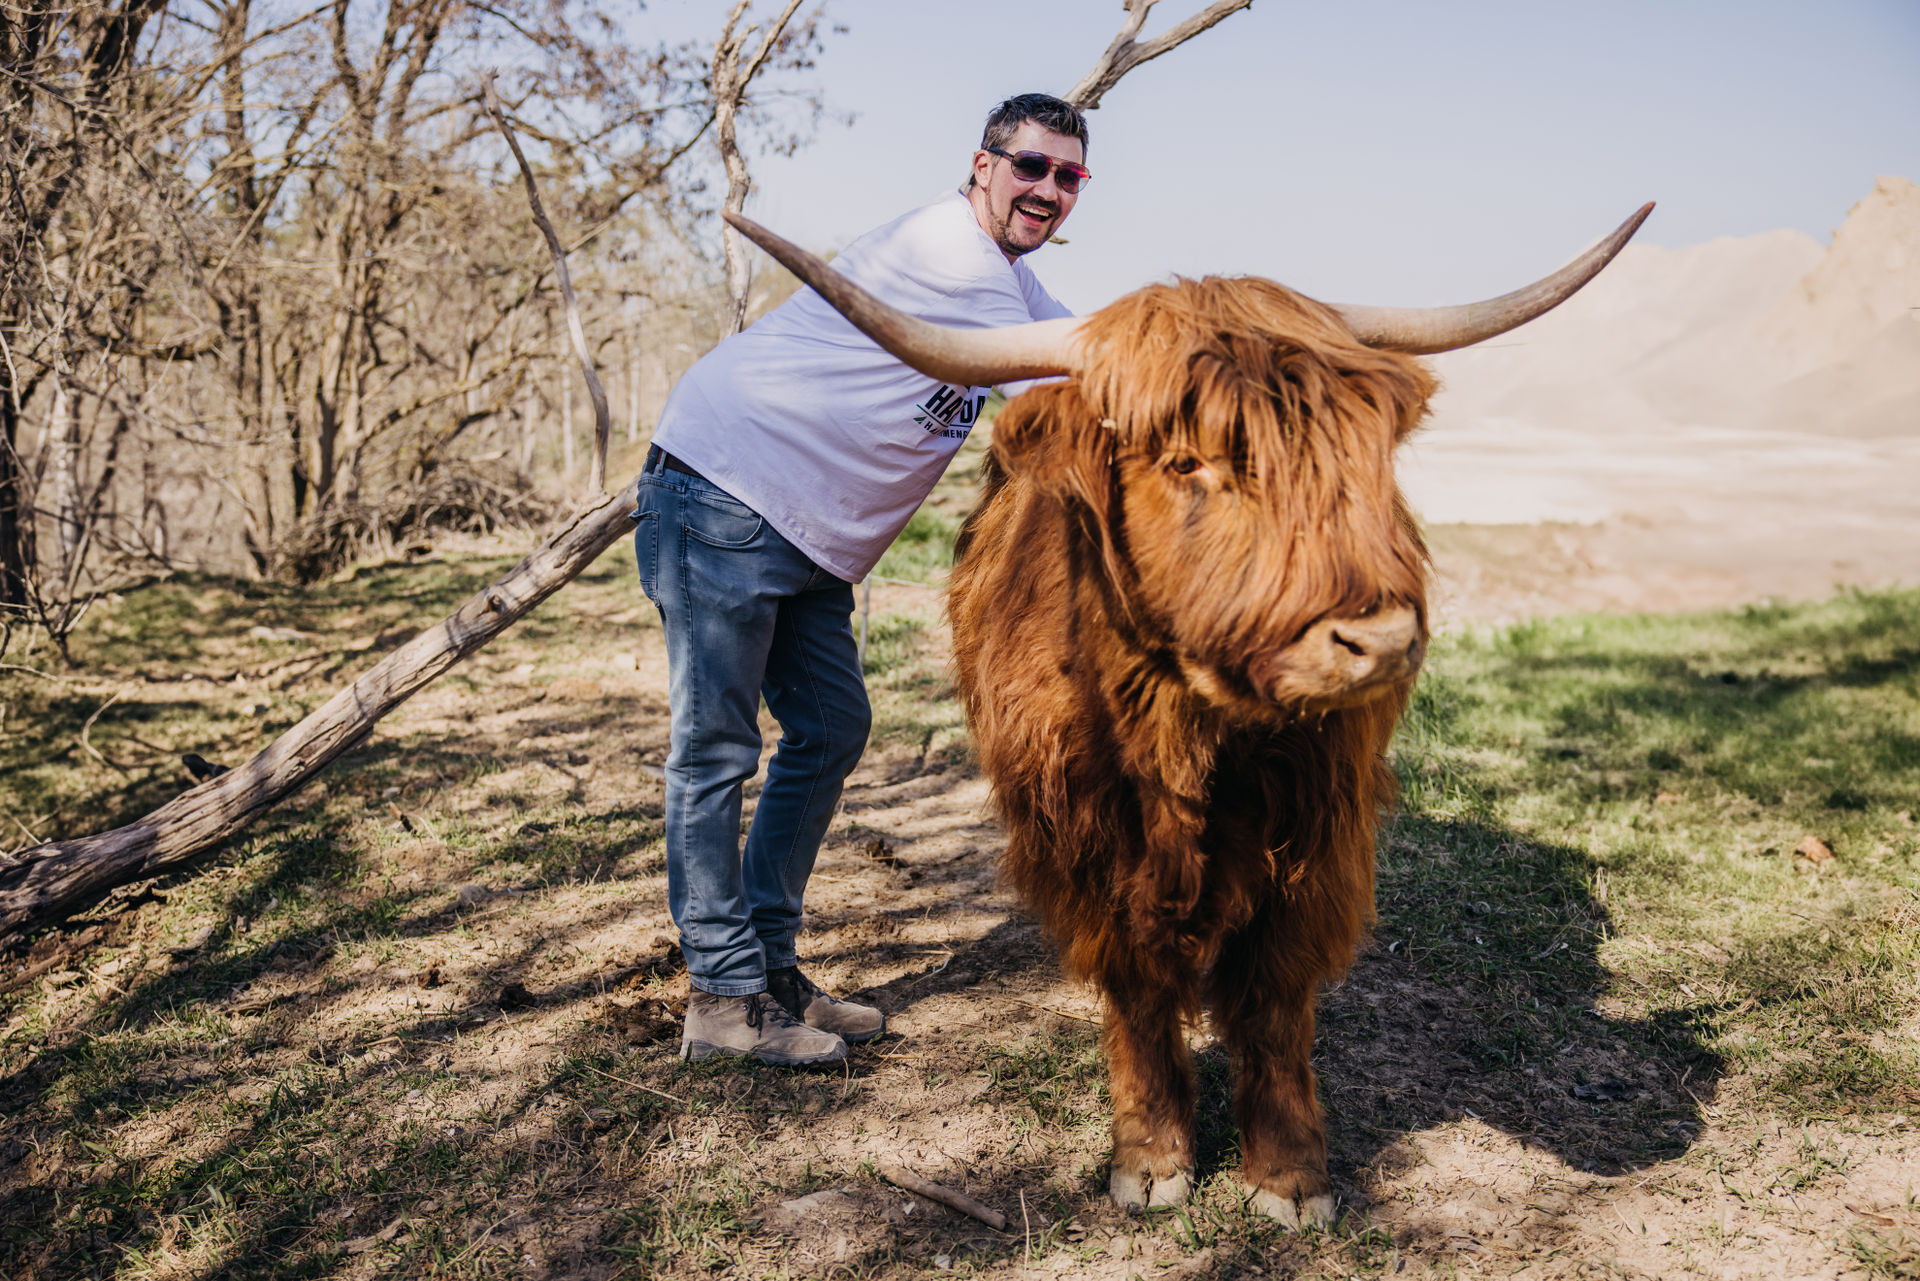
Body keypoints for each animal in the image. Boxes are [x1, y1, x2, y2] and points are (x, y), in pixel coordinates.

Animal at [727, 204, 1650, 1225]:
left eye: (1370, 450)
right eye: (1186, 460)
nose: (1381, 640)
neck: (1190, 738)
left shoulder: (1318, 837)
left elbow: (1275, 1000)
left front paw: (1288, 1173)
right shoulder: (1087, 840)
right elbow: (1137, 989)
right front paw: (1153, 1157)